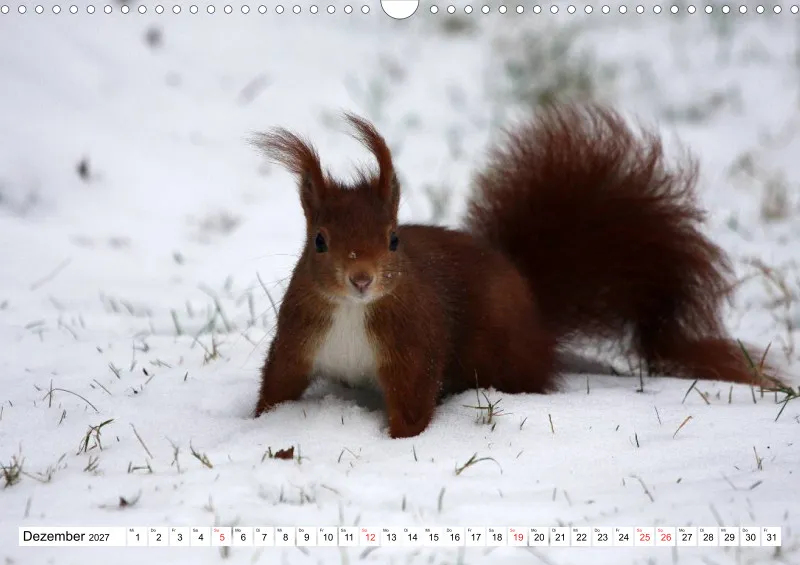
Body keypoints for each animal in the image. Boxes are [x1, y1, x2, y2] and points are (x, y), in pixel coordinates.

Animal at [252, 103, 775, 439]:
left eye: (393, 239)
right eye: (319, 241)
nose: (361, 279)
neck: (351, 311)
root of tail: (532, 303)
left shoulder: (412, 346)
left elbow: (413, 400)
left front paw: (400, 442)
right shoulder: (299, 339)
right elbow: (279, 383)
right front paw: (259, 425)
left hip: (502, 354)